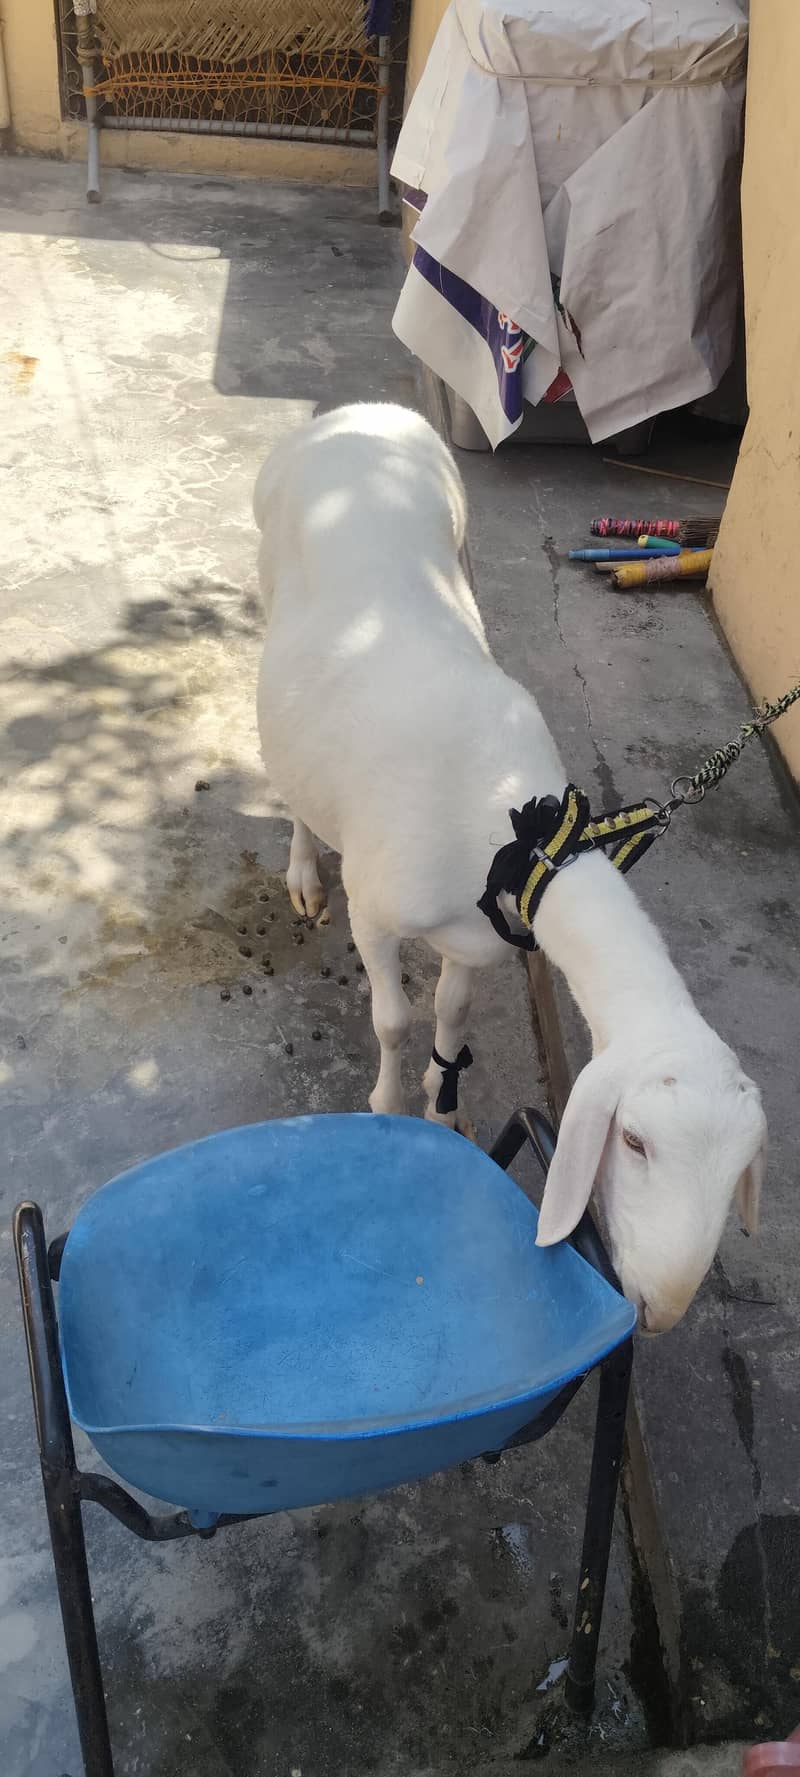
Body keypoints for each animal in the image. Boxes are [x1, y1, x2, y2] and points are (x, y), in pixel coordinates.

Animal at [253, 402, 767, 1334]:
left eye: (740, 1168)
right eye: (633, 1139)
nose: (663, 1308)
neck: (518, 835)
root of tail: (359, 412)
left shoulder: (483, 935)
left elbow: (452, 1012)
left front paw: (443, 1101)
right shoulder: (378, 907)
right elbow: (392, 1016)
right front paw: (386, 1106)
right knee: (295, 780)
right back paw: (304, 868)